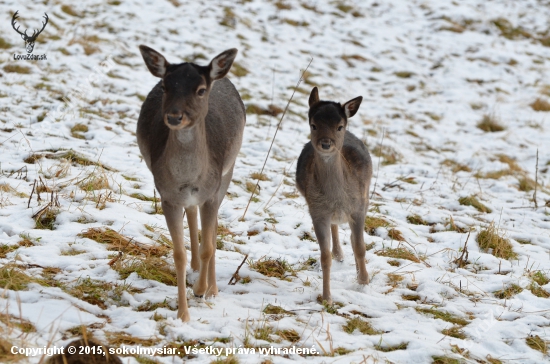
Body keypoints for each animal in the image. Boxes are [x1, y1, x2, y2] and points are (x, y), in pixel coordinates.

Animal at [137, 44, 245, 322]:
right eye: (166, 86)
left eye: (200, 90)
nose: (175, 117)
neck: (188, 178)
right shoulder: (167, 196)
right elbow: (179, 254)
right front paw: (182, 315)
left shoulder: (211, 192)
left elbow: (208, 245)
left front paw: (201, 289)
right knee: (193, 212)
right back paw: (197, 269)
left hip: (227, 173)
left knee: (213, 227)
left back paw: (212, 288)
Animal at [298, 87, 370, 304]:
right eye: (313, 124)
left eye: (339, 126)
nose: (326, 144)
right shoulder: (317, 212)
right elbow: (324, 257)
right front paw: (327, 297)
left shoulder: (359, 208)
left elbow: (360, 247)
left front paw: (364, 281)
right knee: (336, 228)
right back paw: (339, 253)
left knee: (353, 240)